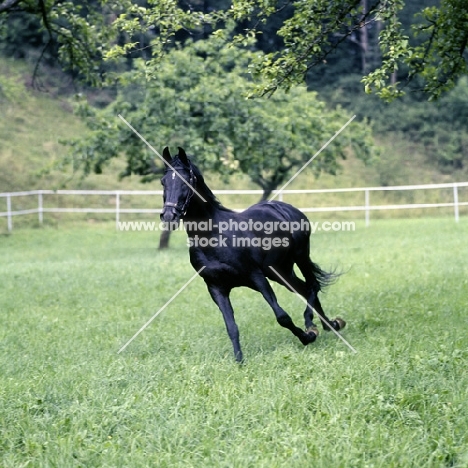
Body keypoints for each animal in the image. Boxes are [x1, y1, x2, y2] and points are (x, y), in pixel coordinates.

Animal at [159, 147, 346, 362]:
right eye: (163, 181)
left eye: (185, 181)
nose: (168, 216)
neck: (214, 236)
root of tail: (287, 209)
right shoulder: (216, 288)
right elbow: (231, 327)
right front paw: (239, 361)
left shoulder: (256, 276)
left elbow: (282, 316)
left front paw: (307, 337)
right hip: (280, 271)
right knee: (304, 289)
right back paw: (329, 325)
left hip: (300, 256)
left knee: (313, 285)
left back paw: (315, 325)